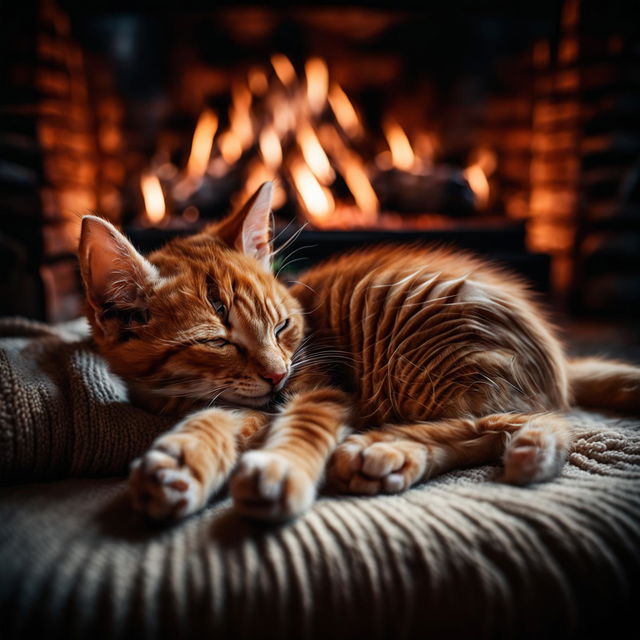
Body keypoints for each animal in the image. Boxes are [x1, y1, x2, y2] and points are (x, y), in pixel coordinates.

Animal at [79, 182, 640, 524]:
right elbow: (217, 417)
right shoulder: (235, 401)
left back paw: (386, 449)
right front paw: (183, 460)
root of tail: (556, 361)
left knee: (526, 419)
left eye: (282, 327)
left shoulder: (321, 384)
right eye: (218, 341)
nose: (278, 374)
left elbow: (304, 422)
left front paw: (281, 467)